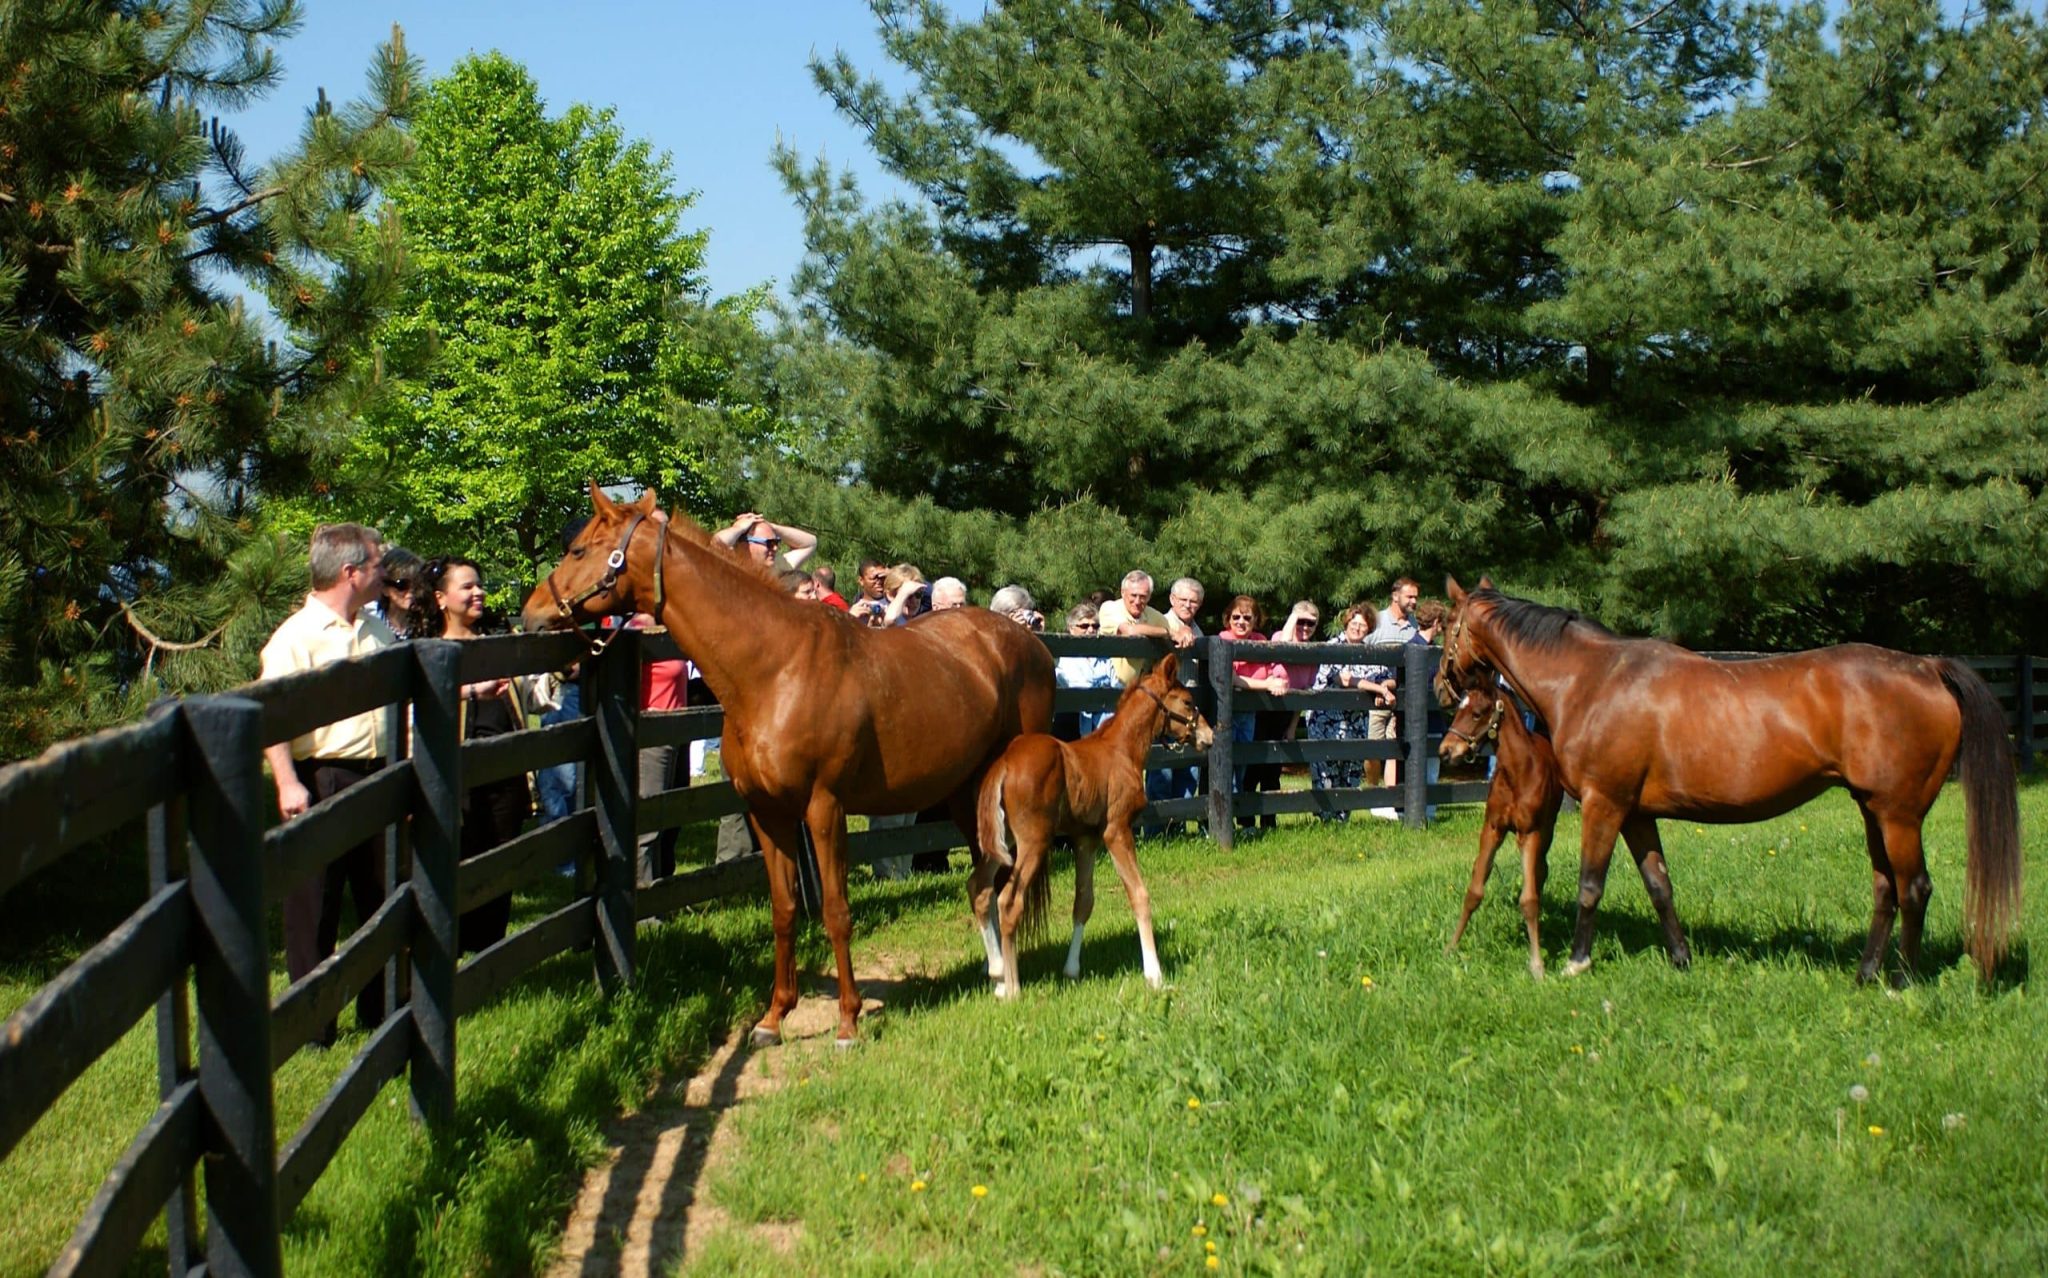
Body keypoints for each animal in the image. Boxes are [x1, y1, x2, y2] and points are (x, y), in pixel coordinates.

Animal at [521, 487, 1055, 1043]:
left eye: (578, 550)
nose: (530, 614)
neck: (776, 669)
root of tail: (1029, 644)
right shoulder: (767, 812)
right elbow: (784, 910)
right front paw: (774, 1017)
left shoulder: (824, 809)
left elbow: (836, 911)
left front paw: (847, 1022)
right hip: (966, 793)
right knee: (985, 877)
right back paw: (998, 976)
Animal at [973, 653, 1214, 998]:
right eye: (1188, 701)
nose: (1210, 736)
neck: (1121, 749)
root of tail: (1004, 763)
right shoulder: (1117, 831)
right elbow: (1139, 894)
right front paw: (1154, 975)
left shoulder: (1086, 838)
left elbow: (1083, 902)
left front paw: (1072, 969)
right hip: (1034, 841)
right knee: (1008, 901)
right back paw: (1013, 988)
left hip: (1000, 841)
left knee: (979, 889)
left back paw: (998, 977)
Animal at [1440, 677, 1565, 977]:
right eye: (1457, 710)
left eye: (1476, 714)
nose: (1445, 752)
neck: (1516, 773)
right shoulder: (1492, 828)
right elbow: (1474, 890)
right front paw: (1450, 947)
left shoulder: (1529, 832)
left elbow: (1529, 899)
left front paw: (1537, 964)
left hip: (1548, 828)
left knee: (1541, 870)